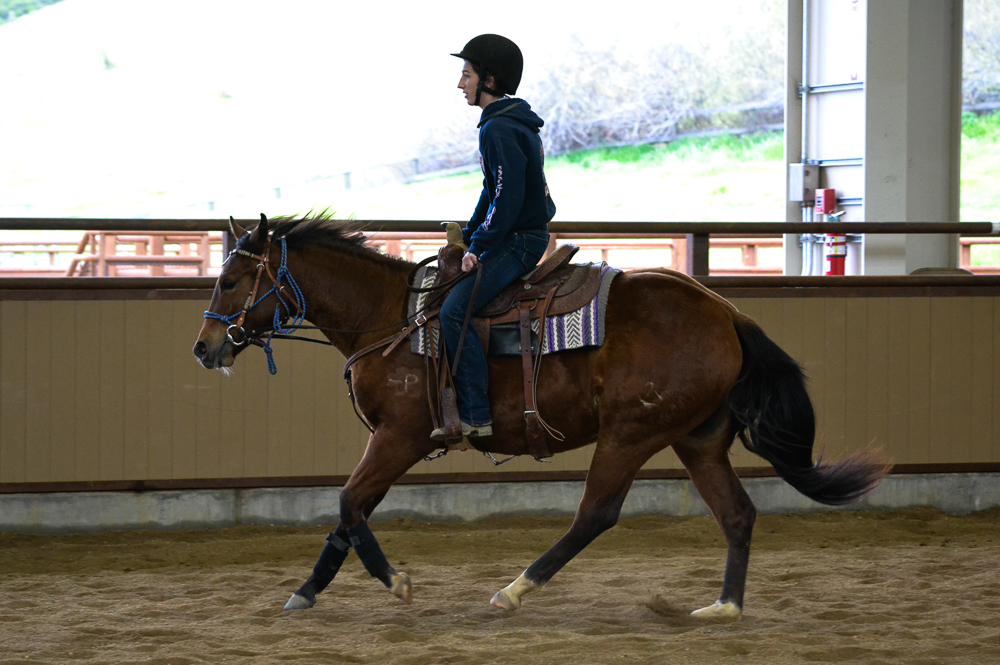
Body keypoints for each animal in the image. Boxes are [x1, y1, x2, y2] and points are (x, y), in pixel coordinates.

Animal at [193, 212, 889, 622]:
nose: (204, 347)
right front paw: (306, 591)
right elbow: (349, 511)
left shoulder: (400, 437)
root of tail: (727, 313)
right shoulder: (393, 444)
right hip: (697, 440)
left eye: (230, 281)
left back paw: (517, 587)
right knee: (737, 513)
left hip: (630, 435)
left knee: (595, 515)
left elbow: (346, 503)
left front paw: (396, 583)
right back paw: (723, 607)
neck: (391, 318)